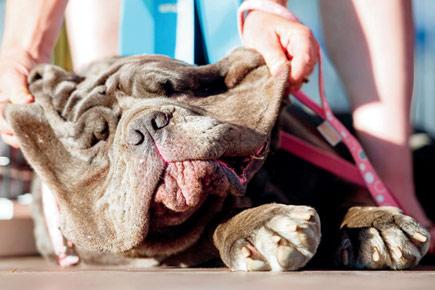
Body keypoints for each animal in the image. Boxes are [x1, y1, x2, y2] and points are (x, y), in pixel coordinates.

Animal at [5, 46, 430, 270]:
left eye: (171, 88)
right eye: (97, 137)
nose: (146, 124)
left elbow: (351, 190)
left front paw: (372, 225)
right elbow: (208, 227)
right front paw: (259, 226)